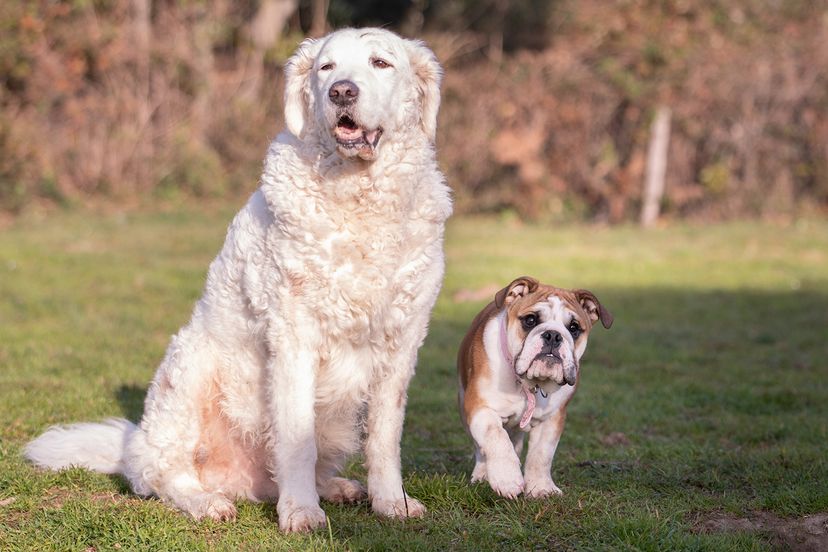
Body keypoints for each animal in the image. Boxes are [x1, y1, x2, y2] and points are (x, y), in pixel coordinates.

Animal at [25, 28, 450, 532]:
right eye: (326, 68)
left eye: (381, 63)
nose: (341, 92)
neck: (357, 198)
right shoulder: (294, 340)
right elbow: (296, 442)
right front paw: (301, 513)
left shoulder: (401, 344)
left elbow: (384, 439)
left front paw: (392, 503)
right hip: (189, 370)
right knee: (163, 474)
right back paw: (207, 502)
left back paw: (338, 488)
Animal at [456, 276, 612, 496]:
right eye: (530, 320)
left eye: (574, 328)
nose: (553, 335)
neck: (530, 384)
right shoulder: (480, 407)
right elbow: (496, 437)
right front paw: (506, 478)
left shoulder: (552, 420)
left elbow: (541, 455)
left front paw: (541, 488)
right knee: (482, 448)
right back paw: (482, 475)